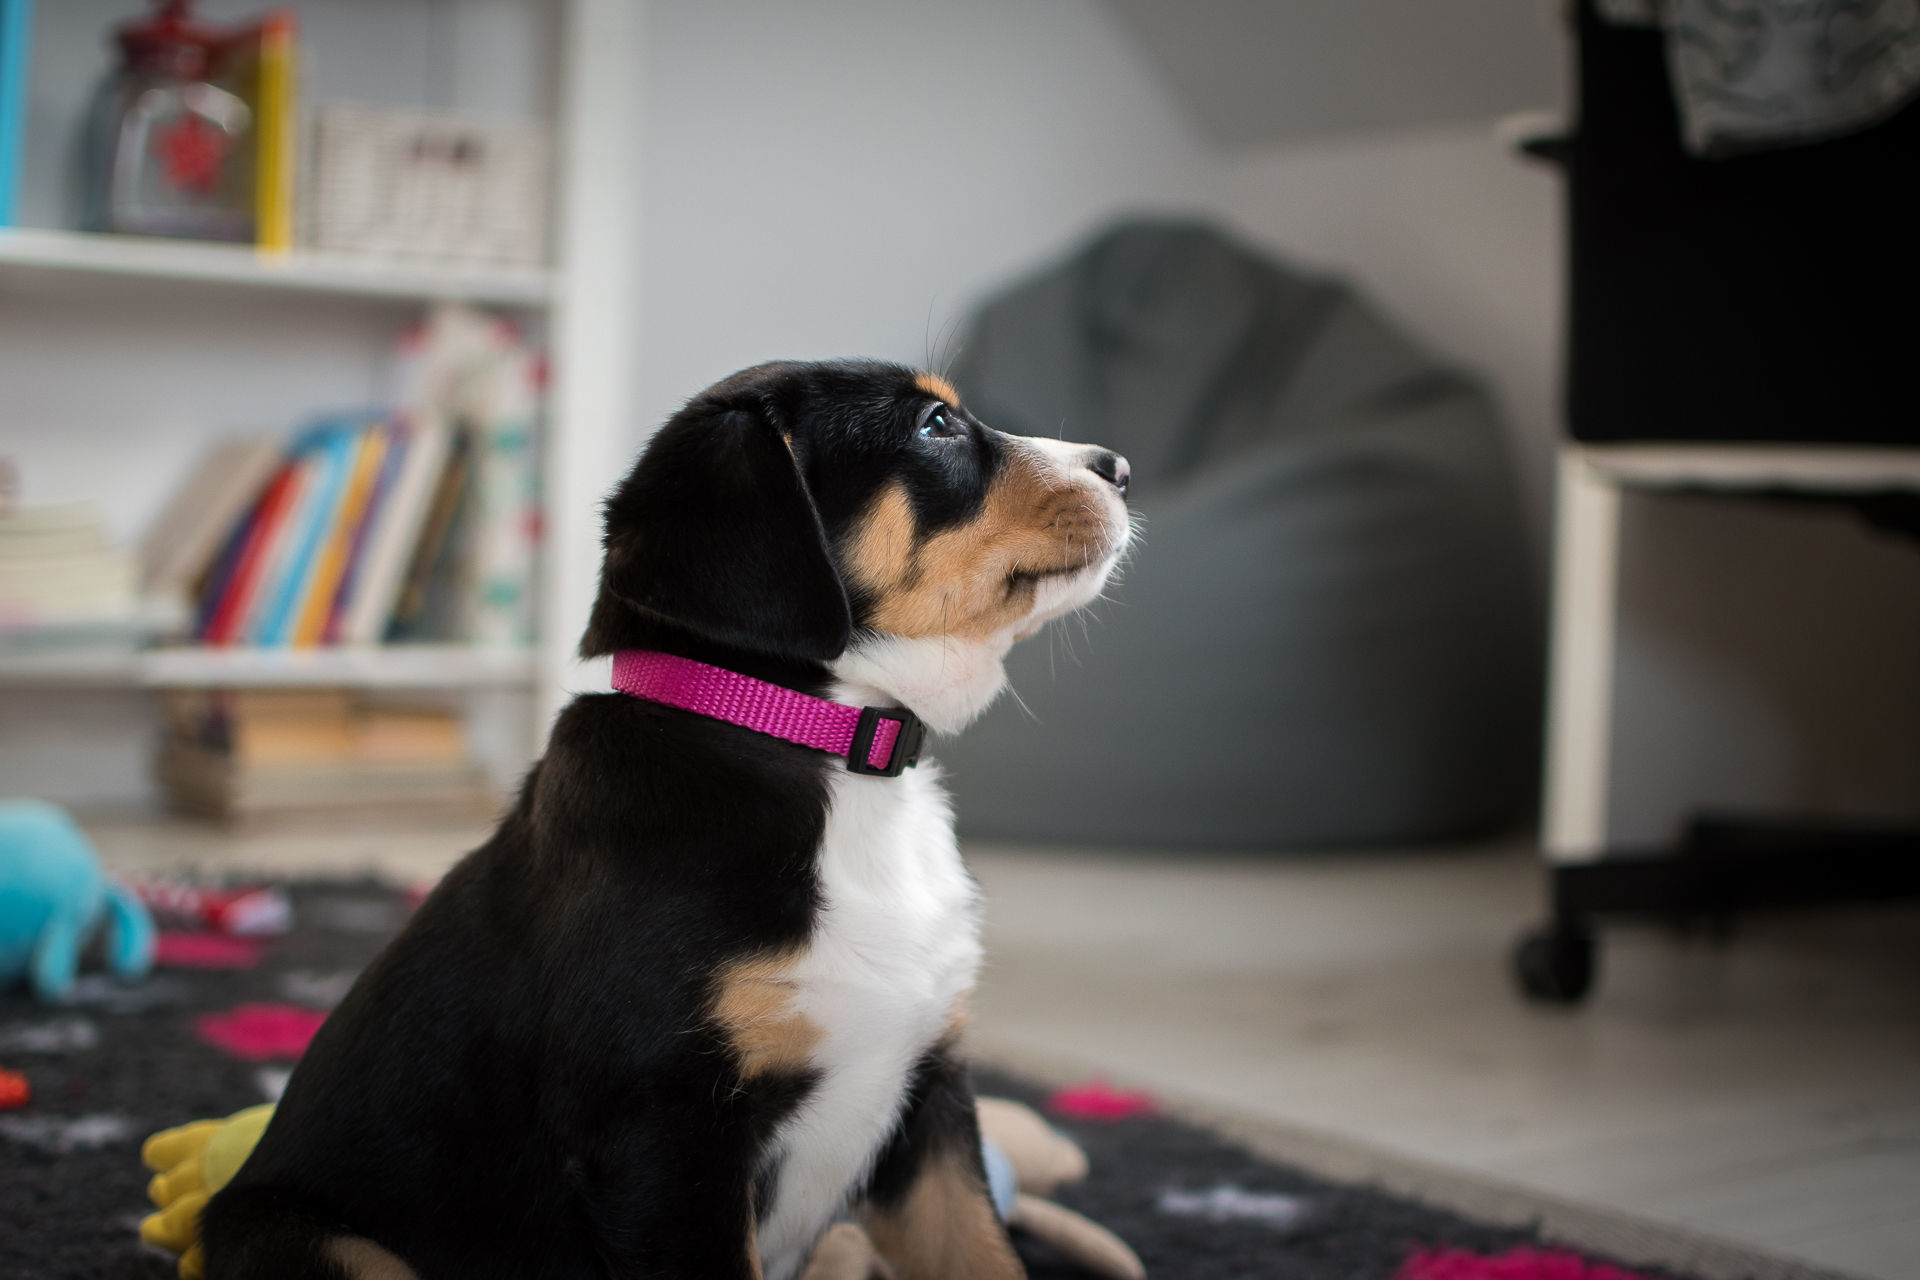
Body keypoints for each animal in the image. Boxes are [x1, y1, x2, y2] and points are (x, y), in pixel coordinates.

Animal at [200, 359, 1132, 1280]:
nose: (1120, 468)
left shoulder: (929, 1095)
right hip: (326, 1242)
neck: (822, 748)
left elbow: (983, 1253)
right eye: (935, 426)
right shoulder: (667, 1133)